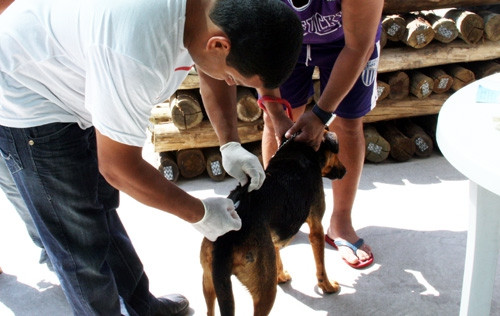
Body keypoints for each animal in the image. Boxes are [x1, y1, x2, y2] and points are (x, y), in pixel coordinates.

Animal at [199, 131, 344, 316]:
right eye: (337, 153)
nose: (345, 171)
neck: (297, 148)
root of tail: (225, 239)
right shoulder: (317, 227)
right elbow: (321, 266)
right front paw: (327, 286)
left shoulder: (272, 237)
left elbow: (277, 256)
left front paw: (281, 276)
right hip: (265, 292)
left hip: (208, 280)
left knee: (209, 309)